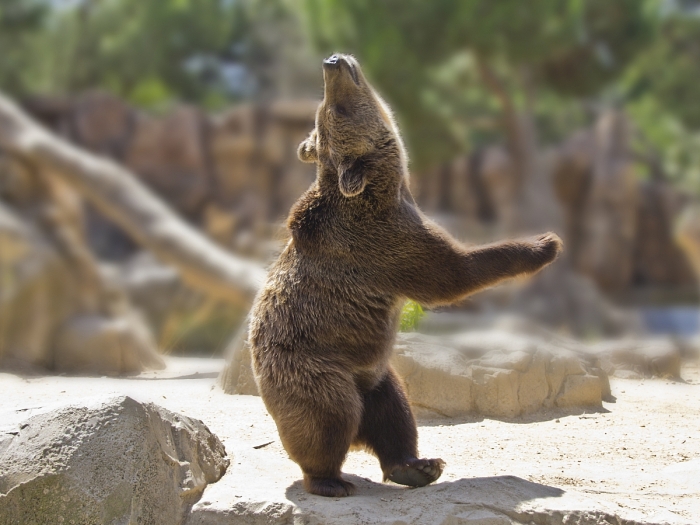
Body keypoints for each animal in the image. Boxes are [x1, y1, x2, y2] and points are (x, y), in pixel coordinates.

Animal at [252, 53, 564, 496]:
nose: (332, 61)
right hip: (315, 368)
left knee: (395, 414)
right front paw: (543, 243)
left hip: (377, 373)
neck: (390, 186)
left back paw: (417, 466)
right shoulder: (384, 242)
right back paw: (331, 480)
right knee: (330, 417)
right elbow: (451, 273)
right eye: (334, 110)